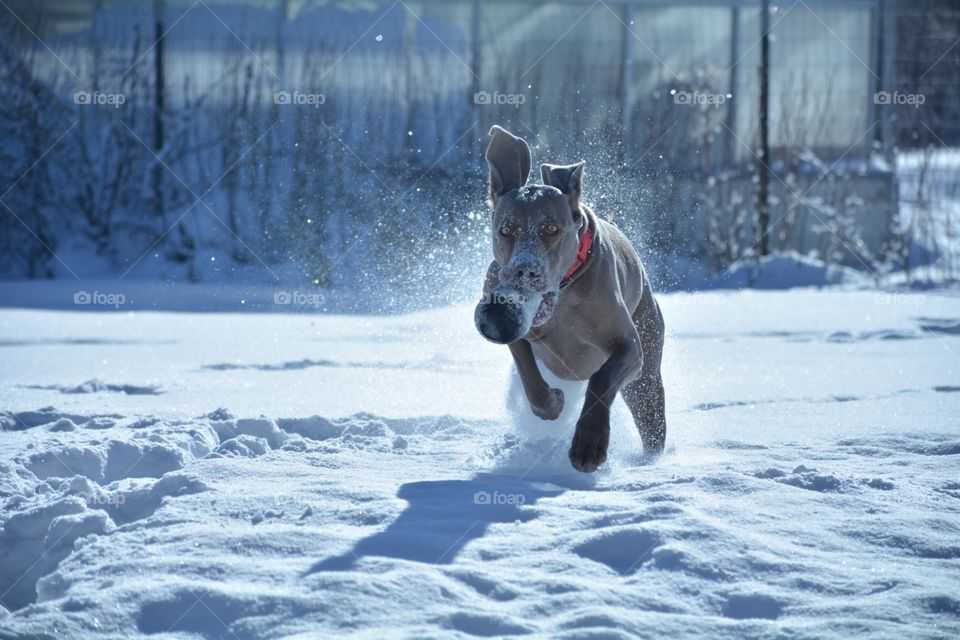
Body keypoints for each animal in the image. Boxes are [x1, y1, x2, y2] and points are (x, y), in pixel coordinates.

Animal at [474, 126, 668, 476]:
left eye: (552, 228)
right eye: (505, 230)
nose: (525, 270)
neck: (563, 295)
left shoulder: (630, 346)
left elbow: (603, 378)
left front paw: (590, 444)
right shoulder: (516, 328)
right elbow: (530, 377)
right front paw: (553, 404)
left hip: (646, 372)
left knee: (651, 416)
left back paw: (650, 465)